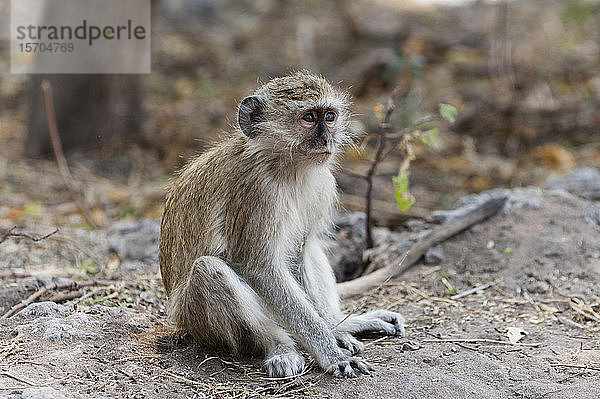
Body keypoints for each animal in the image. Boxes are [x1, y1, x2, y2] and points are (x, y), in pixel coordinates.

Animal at [159, 70, 406, 380]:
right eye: (309, 118)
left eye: (329, 117)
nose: (326, 140)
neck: (287, 166)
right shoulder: (258, 192)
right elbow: (262, 270)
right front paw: (331, 354)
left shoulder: (322, 183)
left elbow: (300, 253)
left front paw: (334, 332)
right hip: (194, 319)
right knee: (209, 269)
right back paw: (280, 347)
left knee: (309, 249)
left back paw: (337, 325)